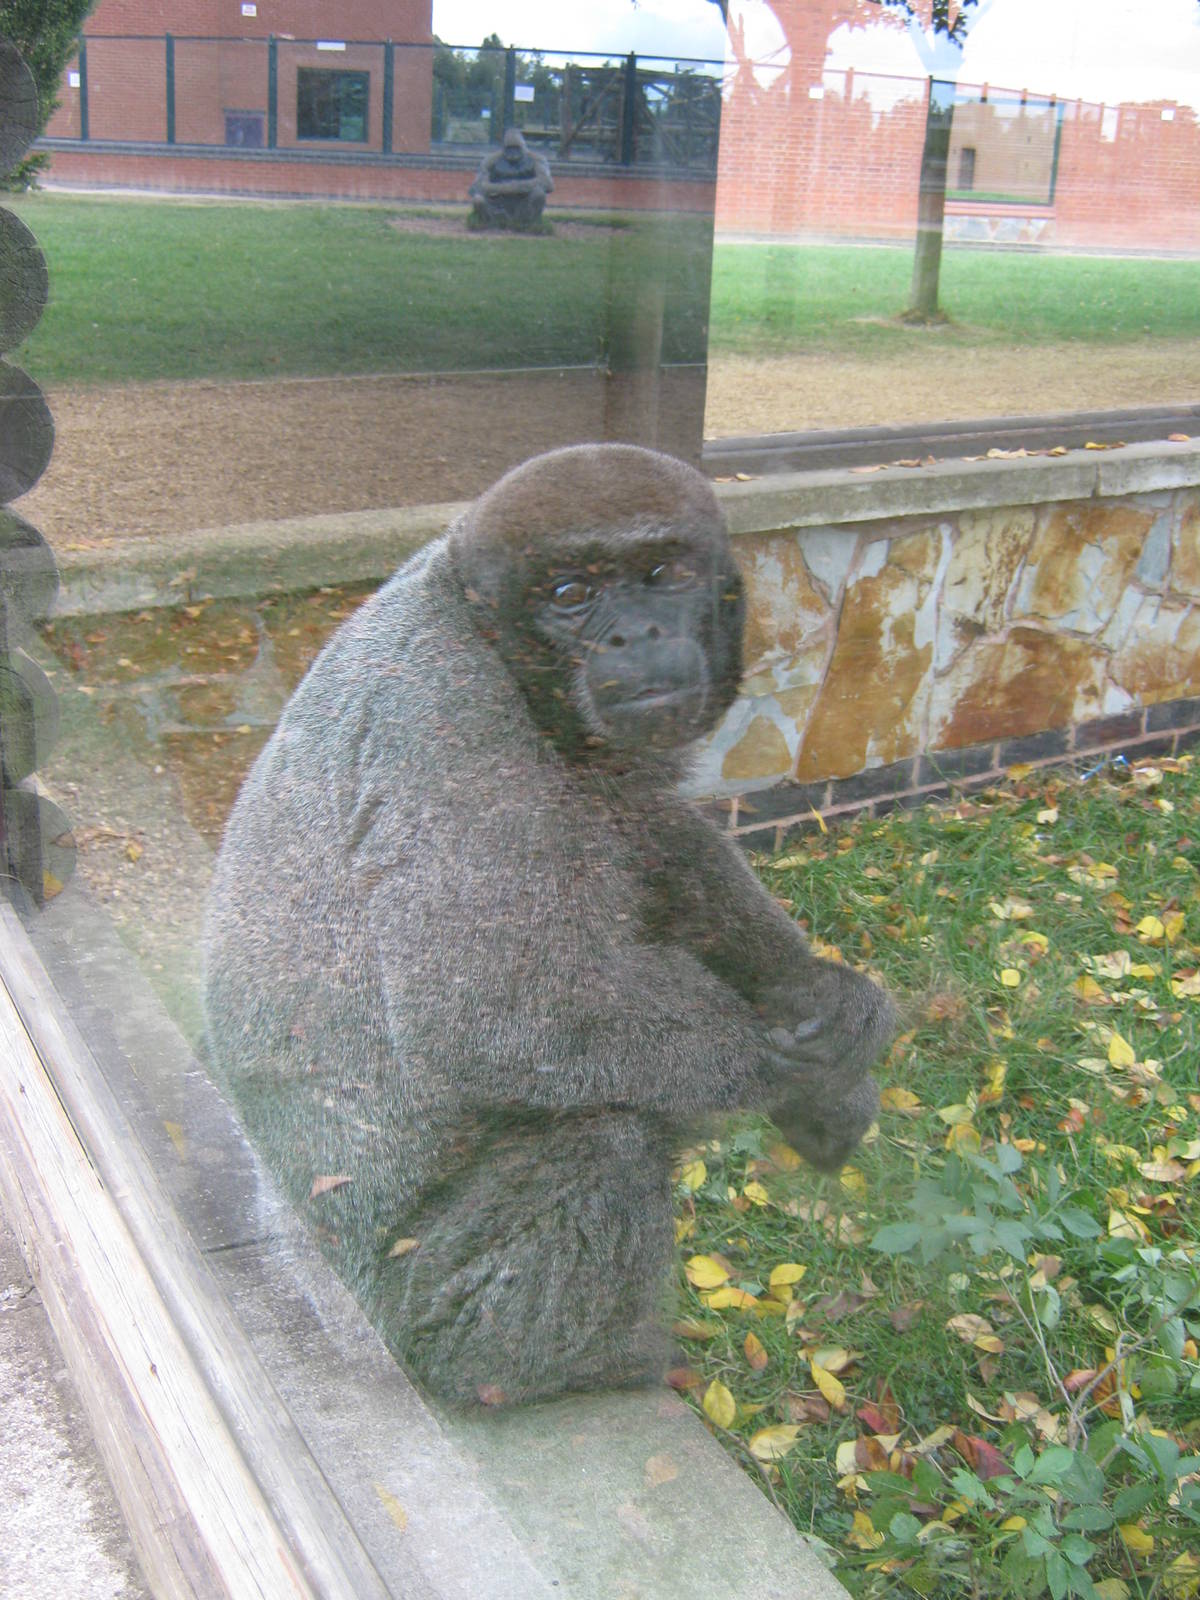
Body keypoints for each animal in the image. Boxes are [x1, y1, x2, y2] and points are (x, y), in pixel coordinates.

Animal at [203, 444, 894, 1407]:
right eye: (571, 594)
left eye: (662, 574)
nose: (634, 635)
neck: (481, 624)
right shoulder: (448, 722)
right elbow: (488, 1016)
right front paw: (805, 1074)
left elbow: (654, 828)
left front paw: (826, 1003)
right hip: (401, 1289)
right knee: (605, 1136)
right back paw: (546, 1372)